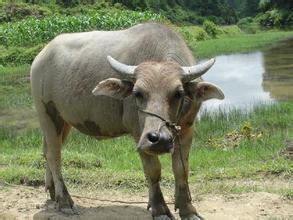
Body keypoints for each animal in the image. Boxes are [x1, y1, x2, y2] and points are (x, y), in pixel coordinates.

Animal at [30, 21, 224, 218]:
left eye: (178, 93)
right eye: (137, 93)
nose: (159, 139)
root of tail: (41, 56)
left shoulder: (187, 129)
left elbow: (181, 169)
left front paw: (187, 209)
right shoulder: (139, 134)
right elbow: (153, 171)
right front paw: (159, 209)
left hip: (64, 121)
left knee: (47, 150)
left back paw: (52, 191)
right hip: (47, 113)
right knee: (54, 155)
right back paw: (64, 201)